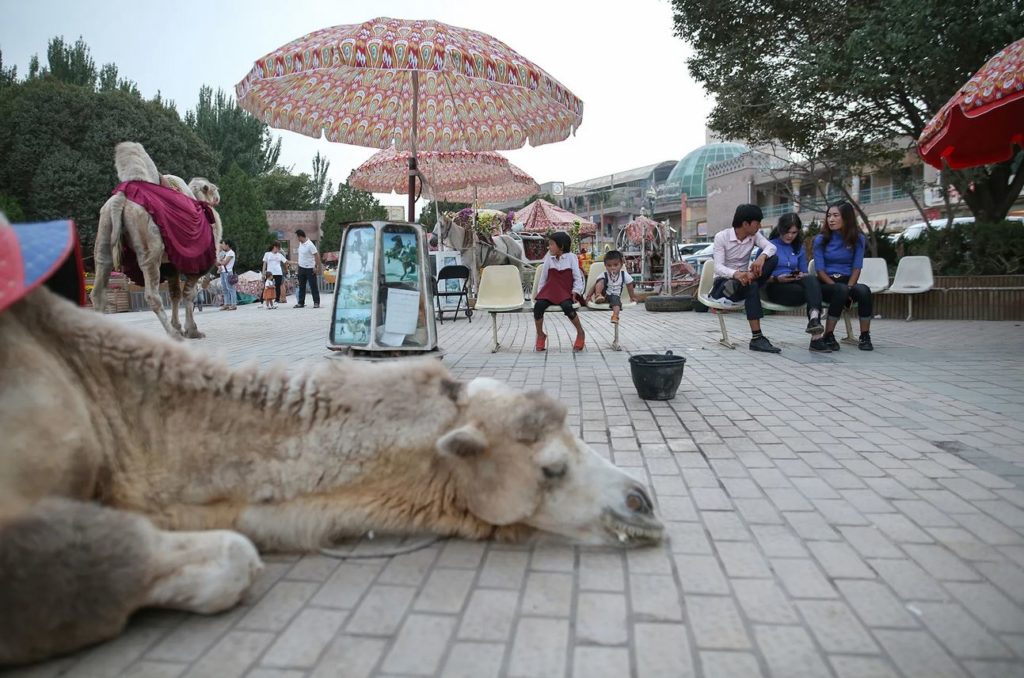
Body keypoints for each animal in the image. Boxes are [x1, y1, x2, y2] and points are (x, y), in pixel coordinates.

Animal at [89, 142, 222, 340]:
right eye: (212, 189)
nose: (217, 198)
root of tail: (120, 198)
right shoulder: (196, 262)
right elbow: (189, 293)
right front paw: (191, 330)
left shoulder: (172, 266)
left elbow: (175, 294)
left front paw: (180, 326)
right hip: (150, 248)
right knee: (152, 294)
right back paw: (173, 335)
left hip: (104, 231)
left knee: (98, 289)